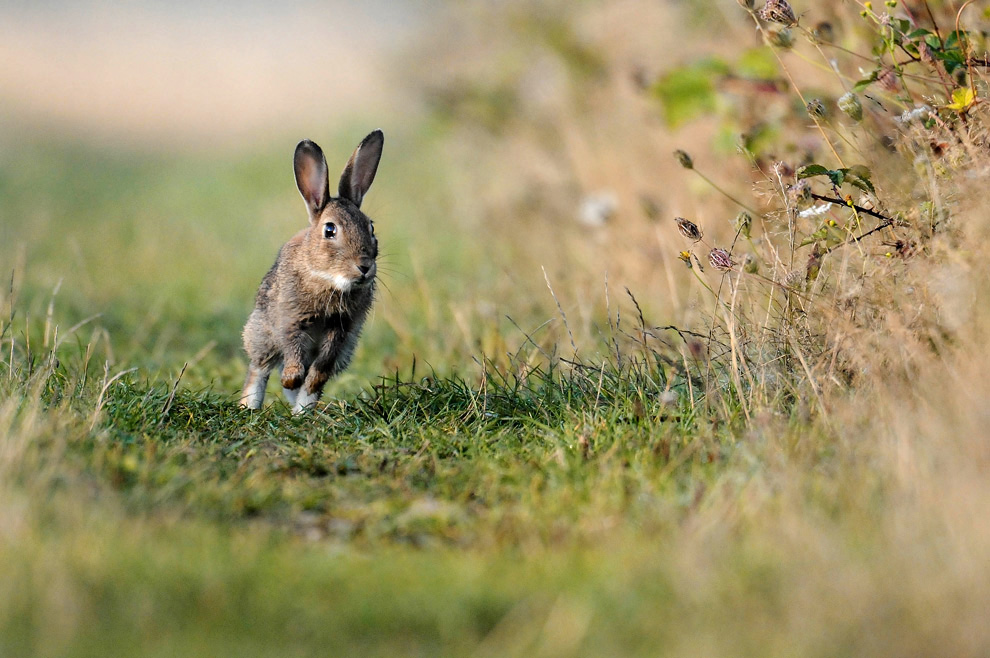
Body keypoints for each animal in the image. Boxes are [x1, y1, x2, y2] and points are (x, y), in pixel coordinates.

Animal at [238, 131, 386, 412]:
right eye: (329, 230)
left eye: (371, 228)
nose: (364, 267)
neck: (328, 280)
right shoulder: (290, 318)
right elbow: (292, 348)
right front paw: (290, 378)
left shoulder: (342, 328)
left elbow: (321, 366)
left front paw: (305, 383)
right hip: (260, 334)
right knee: (258, 371)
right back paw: (249, 407)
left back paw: (302, 412)